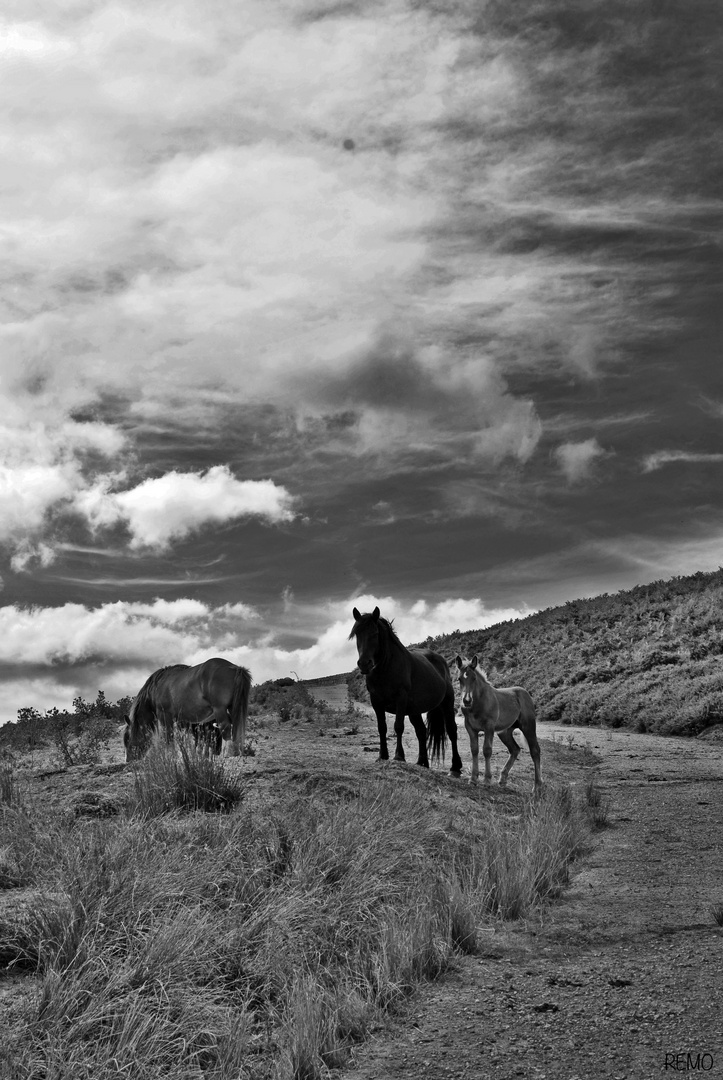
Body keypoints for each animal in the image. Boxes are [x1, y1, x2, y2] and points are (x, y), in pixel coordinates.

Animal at [122, 652, 250, 764]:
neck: (156, 688)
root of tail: (235, 668)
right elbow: (187, 738)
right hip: (233, 708)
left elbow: (169, 737)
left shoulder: (165, 716)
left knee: (226, 728)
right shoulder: (182, 721)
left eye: (127, 738)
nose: (128, 760)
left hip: (220, 709)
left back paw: (227, 753)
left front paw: (171, 756)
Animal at [345, 609, 460, 777]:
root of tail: (440, 659)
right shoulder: (376, 701)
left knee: (452, 730)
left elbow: (398, 726)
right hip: (414, 710)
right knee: (421, 731)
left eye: (375, 633)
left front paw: (399, 756)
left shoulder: (400, 699)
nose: (364, 664)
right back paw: (422, 763)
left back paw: (455, 768)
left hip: (447, 703)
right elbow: (382, 727)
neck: (386, 668)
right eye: (357, 634)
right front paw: (382, 756)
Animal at [453, 652, 538, 790]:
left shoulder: (489, 727)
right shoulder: (470, 728)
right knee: (515, 749)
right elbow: (474, 749)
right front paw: (473, 779)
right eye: (459, 679)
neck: (478, 703)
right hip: (505, 732)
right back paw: (502, 779)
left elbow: (487, 750)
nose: (466, 701)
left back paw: (537, 788)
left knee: (535, 751)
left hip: (528, 726)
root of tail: (525, 693)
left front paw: (487, 780)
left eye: (474, 678)